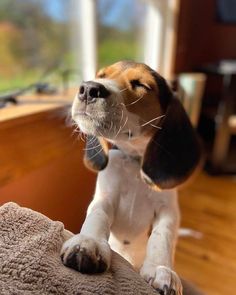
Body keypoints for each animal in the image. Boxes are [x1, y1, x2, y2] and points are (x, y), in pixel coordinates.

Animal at [60, 60, 201, 295]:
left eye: (141, 85)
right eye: (101, 75)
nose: (88, 88)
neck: (134, 160)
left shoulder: (168, 210)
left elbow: (162, 236)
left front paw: (161, 269)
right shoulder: (104, 198)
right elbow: (97, 216)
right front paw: (88, 243)